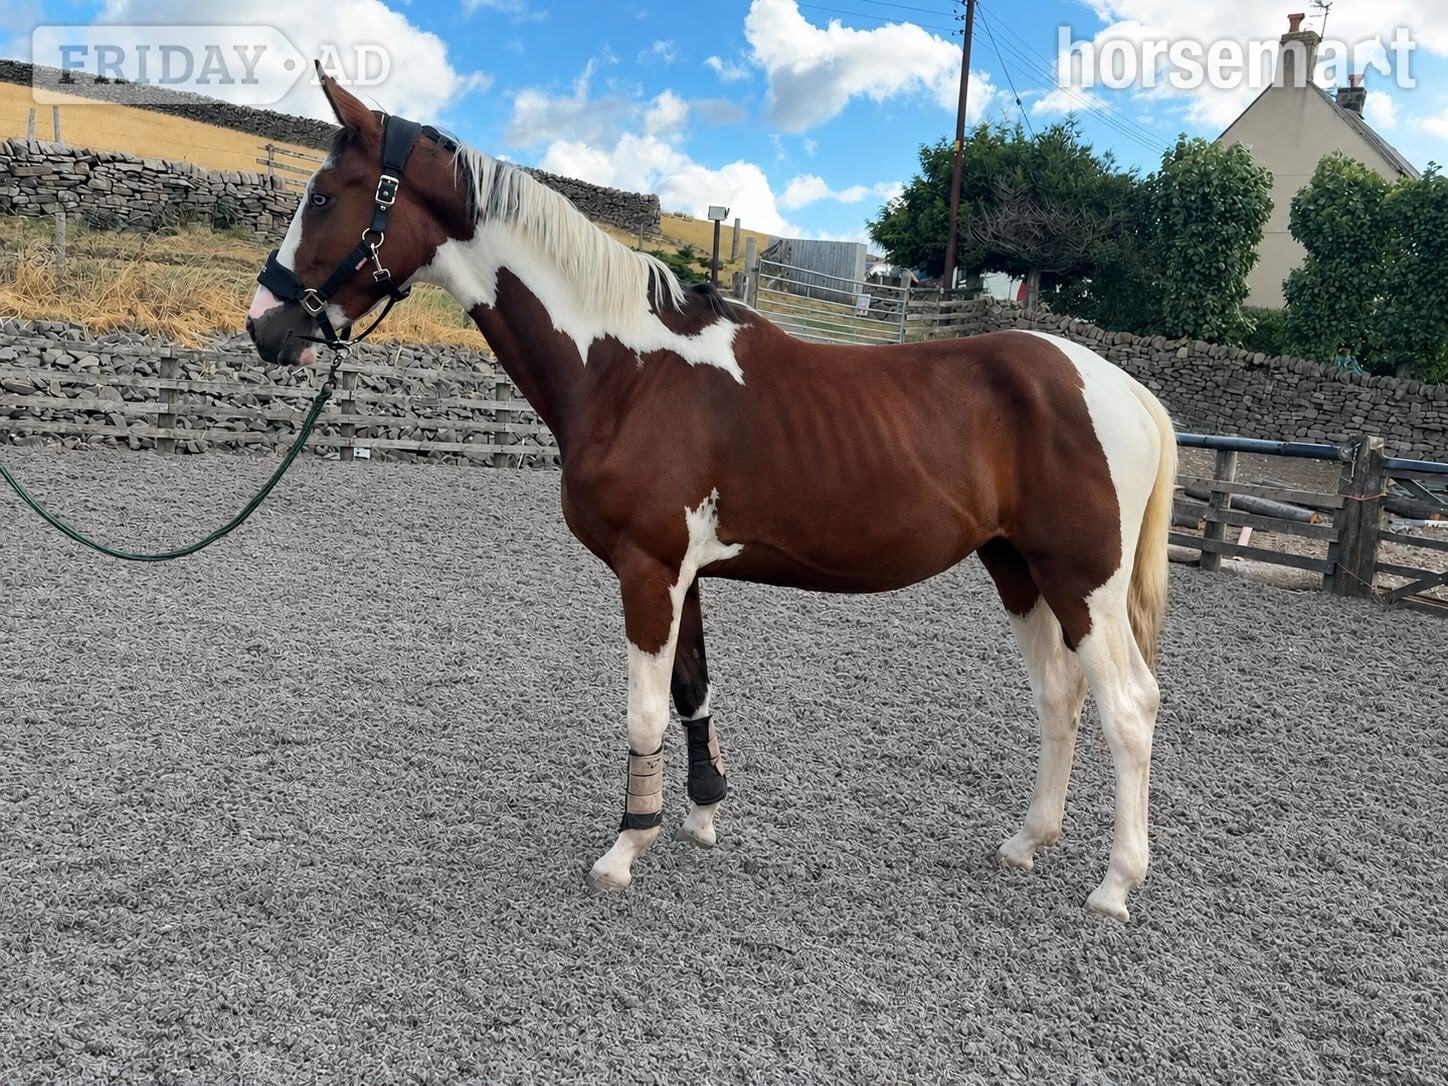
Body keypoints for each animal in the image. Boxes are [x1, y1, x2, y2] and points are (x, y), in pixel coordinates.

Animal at [246, 70, 1178, 922]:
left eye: (324, 195)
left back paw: (1115, 885)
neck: (625, 369)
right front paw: (696, 816)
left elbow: (645, 711)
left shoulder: (647, 570)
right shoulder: (682, 574)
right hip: (1018, 569)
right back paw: (1027, 841)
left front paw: (627, 847)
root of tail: (1128, 392)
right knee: (1061, 695)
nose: (265, 327)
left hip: (1079, 580)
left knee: (1129, 707)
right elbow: (692, 692)